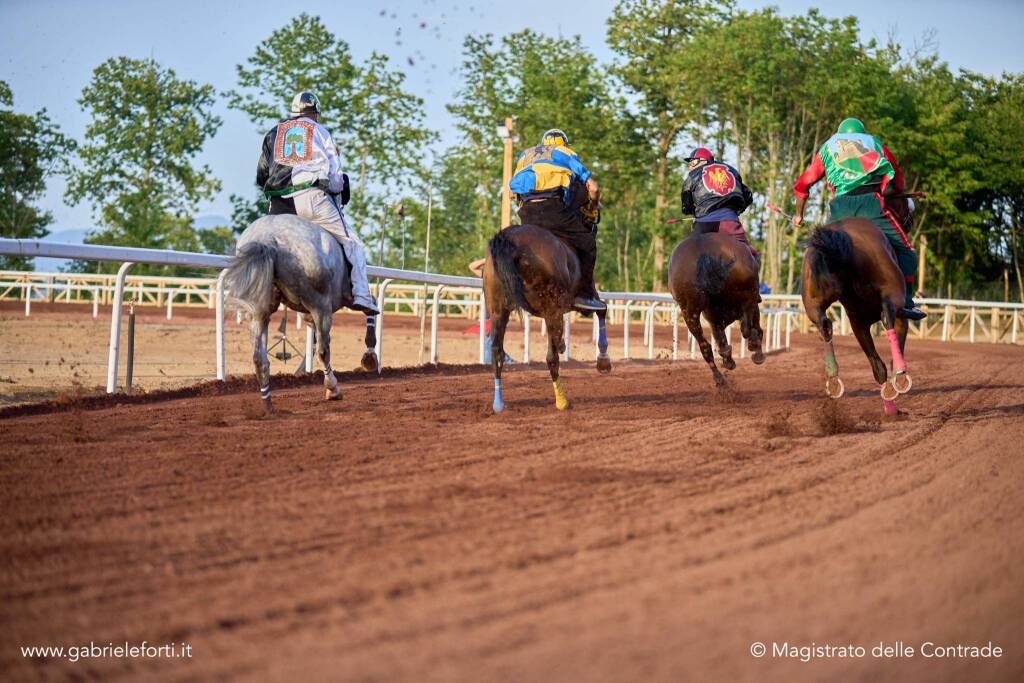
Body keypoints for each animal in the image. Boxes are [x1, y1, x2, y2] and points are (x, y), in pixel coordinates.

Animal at [481, 223, 606, 411]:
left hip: (498, 309)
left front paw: (562, 344)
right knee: (551, 357)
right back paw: (561, 401)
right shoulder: (579, 301)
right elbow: (602, 309)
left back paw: (498, 403)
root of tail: (508, 238)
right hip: (551, 308)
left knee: (497, 351)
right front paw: (603, 362)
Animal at [667, 233, 765, 385]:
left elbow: (721, 340)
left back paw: (719, 378)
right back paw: (753, 346)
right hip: (749, 295)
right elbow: (752, 327)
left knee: (704, 345)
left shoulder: (714, 320)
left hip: (689, 312)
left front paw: (727, 359)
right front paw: (756, 351)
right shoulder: (747, 305)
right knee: (746, 328)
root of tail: (702, 252)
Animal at [798, 216, 913, 413]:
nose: (909, 222)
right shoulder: (897, 318)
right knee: (887, 317)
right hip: (893, 294)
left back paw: (833, 377)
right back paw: (900, 373)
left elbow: (878, 367)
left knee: (825, 325)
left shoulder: (858, 323)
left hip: (813, 303)